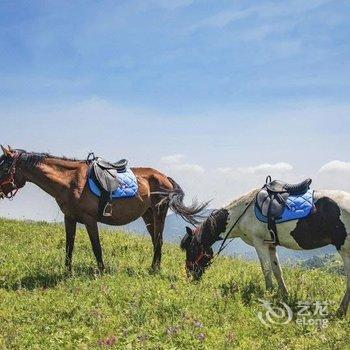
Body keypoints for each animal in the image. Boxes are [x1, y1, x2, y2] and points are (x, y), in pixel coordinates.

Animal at [0, 146, 208, 272]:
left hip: (159, 213)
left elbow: (96, 247)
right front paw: (67, 271)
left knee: (158, 240)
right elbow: (69, 246)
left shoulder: (90, 219)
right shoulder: (70, 218)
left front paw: (101, 271)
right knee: (156, 240)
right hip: (148, 215)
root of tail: (164, 176)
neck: (71, 181)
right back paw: (153, 267)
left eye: (3, 168)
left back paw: (154, 269)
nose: (0, 192)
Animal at [180, 189, 350, 318]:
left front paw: (268, 295)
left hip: (345, 251)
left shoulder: (259, 243)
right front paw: (284, 296)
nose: (189, 276)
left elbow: (266, 270)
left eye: (192, 250)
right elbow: (277, 271)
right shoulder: (271, 245)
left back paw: (340, 312)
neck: (243, 213)